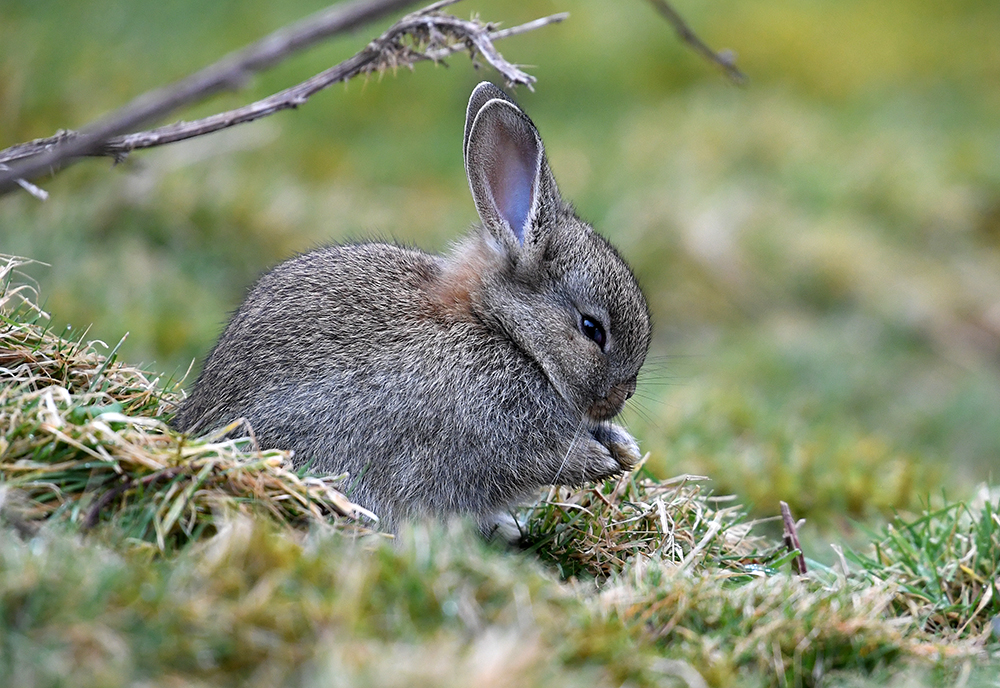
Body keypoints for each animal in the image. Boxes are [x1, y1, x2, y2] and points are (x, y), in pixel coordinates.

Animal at [172, 82, 651, 534]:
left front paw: (625, 449)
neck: (502, 331)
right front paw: (602, 460)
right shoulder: (491, 435)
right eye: (592, 328)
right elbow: (541, 459)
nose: (623, 394)